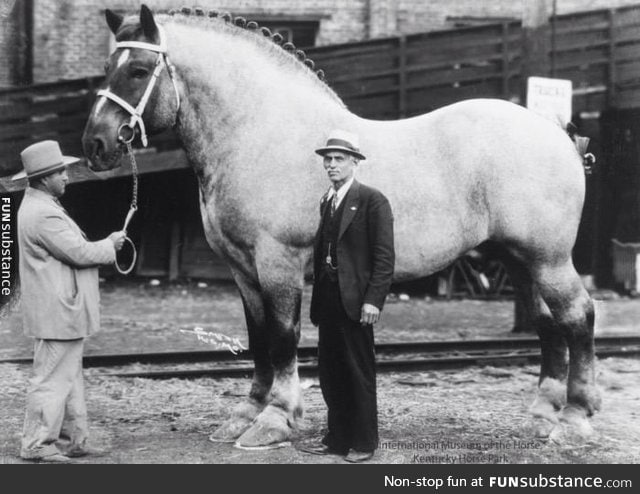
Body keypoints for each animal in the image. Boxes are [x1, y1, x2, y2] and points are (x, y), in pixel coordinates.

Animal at [84, 5, 600, 450]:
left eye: (137, 70)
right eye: (108, 65)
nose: (95, 144)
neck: (262, 133)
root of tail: (557, 132)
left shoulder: (278, 262)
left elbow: (282, 337)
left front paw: (275, 419)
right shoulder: (242, 269)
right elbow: (257, 337)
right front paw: (246, 413)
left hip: (548, 259)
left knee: (577, 316)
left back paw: (575, 418)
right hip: (519, 260)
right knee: (547, 323)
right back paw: (543, 414)